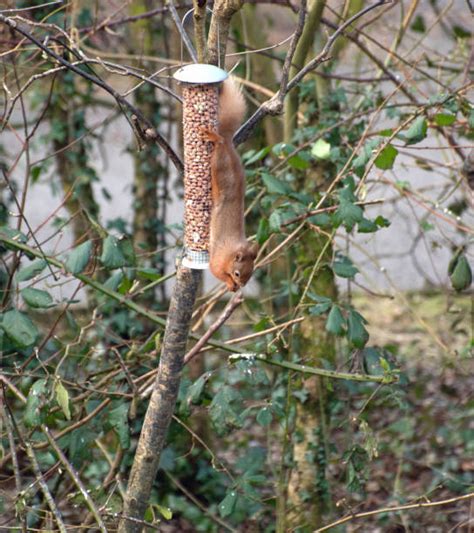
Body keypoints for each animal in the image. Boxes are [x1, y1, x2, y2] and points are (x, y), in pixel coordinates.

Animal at [202, 79, 258, 290]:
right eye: (237, 273)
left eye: (250, 274)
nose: (240, 286)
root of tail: (228, 140)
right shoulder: (218, 260)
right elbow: (216, 271)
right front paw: (229, 284)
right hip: (219, 165)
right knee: (219, 143)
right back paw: (214, 138)